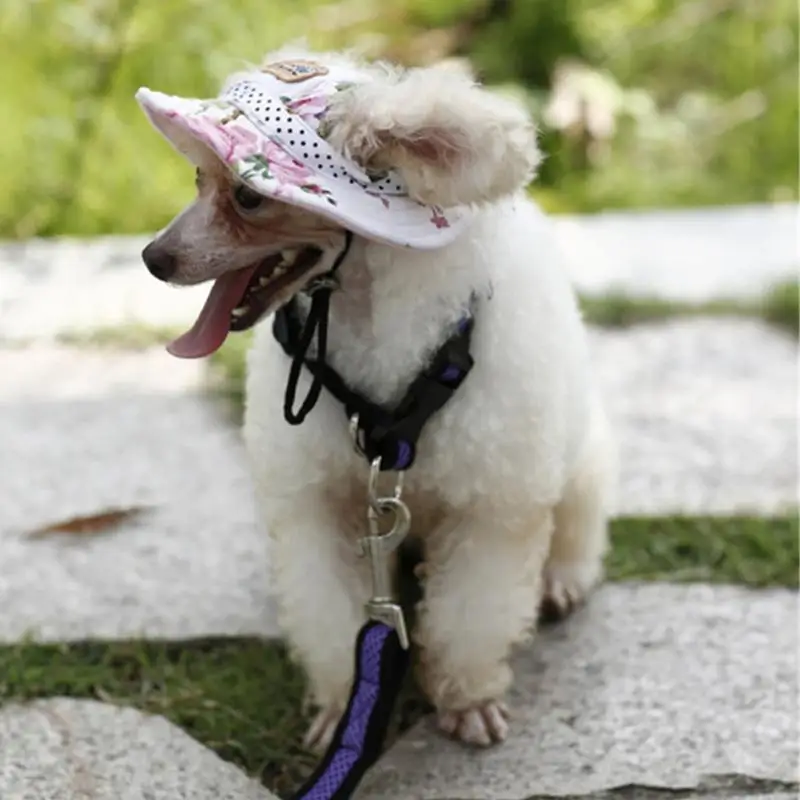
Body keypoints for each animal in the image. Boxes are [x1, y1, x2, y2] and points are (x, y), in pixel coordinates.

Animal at [136, 43, 616, 751]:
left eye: (248, 197)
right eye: (200, 179)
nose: (153, 258)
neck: (374, 324)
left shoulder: (491, 510)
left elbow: (473, 614)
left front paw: (467, 699)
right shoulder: (322, 507)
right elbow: (331, 614)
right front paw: (342, 710)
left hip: (579, 469)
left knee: (576, 530)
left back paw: (561, 582)